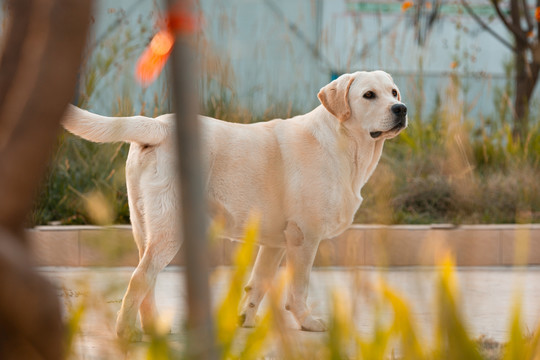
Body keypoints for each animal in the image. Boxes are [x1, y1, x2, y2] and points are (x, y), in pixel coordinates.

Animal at [62, 69, 404, 340]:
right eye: (369, 95)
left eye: (394, 92)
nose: (401, 108)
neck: (344, 141)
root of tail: (157, 125)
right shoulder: (303, 238)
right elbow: (298, 288)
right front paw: (306, 322)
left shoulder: (275, 244)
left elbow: (257, 284)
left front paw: (245, 319)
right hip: (170, 230)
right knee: (139, 278)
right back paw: (127, 332)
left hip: (144, 229)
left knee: (147, 280)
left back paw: (152, 329)